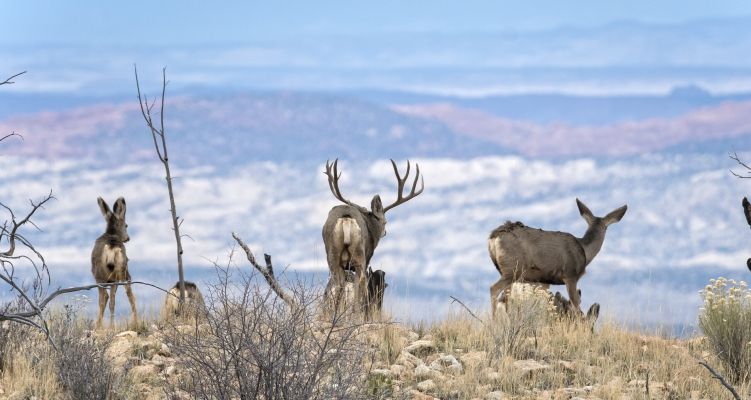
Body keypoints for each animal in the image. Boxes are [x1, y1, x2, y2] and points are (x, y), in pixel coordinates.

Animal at [91, 197, 137, 329]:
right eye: (126, 225)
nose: (128, 238)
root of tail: (112, 248)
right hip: (121, 274)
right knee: (123, 296)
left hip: (106, 277)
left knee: (108, 299)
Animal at [322, 159, 423, 317]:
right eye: (385, 221)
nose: (385, 232)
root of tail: (346, 218)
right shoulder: (368, 256)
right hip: (360, 254)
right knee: (361, 282)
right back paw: (356, 315)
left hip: (332, 254)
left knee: (337, 283)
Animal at [488, 198, 627, 317]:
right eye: (606, 227)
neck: (584, 250)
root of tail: (493, 236)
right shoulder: (570, 275)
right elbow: (576, 306)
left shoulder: (542, 280)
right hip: (512, 268)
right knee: (494, 289)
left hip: (508, 271)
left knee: (505, 298)